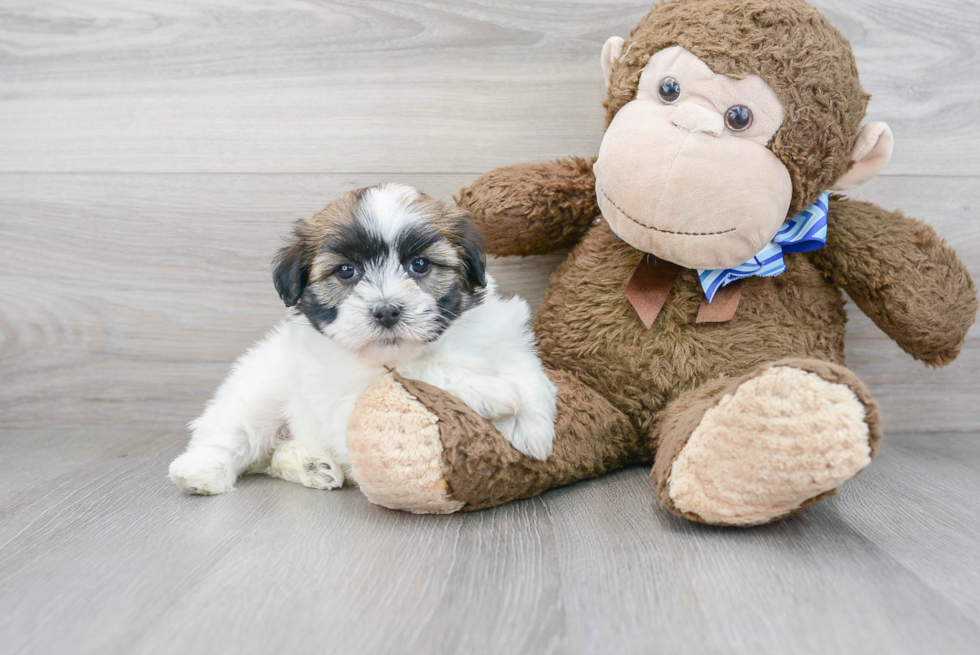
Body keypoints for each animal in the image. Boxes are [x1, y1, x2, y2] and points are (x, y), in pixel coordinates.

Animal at [170, 182, 560, 494]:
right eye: (346, 271)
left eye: (420, 265)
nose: (386, 311)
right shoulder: (348, 392)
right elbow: (418, 376)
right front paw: (495, 394)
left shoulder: (505, 339)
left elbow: (528, 373)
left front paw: (534, 429)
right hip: (258, 391)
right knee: (233, 432)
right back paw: (200, 472)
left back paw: (312, 465)